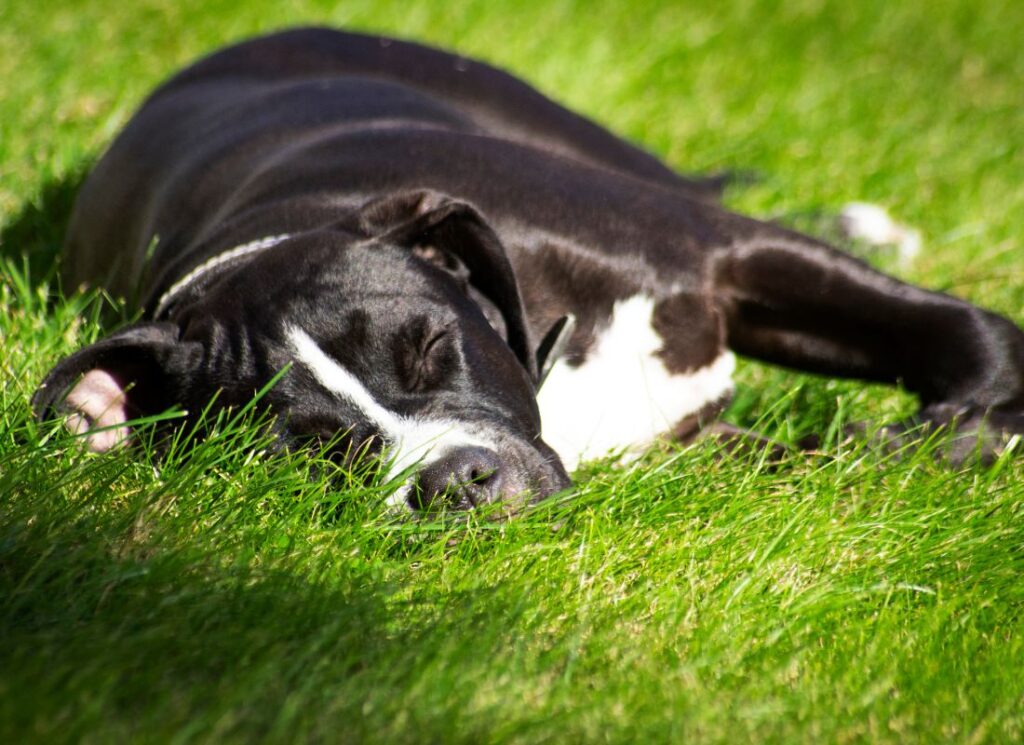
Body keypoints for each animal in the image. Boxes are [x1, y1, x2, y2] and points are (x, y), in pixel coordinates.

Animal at [29, 26, 1024, 509]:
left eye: (431, 346)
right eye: (307, 450)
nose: (454, 481)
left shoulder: (723, 255)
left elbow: (967, 333)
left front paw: (968, 424)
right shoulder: (693, 445)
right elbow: (836, 463)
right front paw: (910, 446)